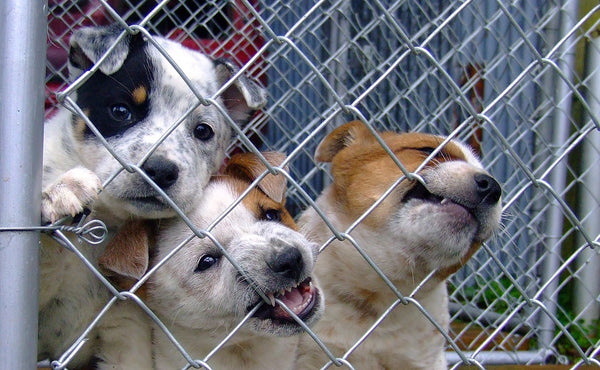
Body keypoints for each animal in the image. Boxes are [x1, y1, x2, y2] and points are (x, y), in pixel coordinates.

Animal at [36, 24, 264, 368]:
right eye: (120, 111)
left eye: (203, 131)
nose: (160, 170)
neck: (109, 222)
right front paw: (60, 190)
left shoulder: (126, 324)